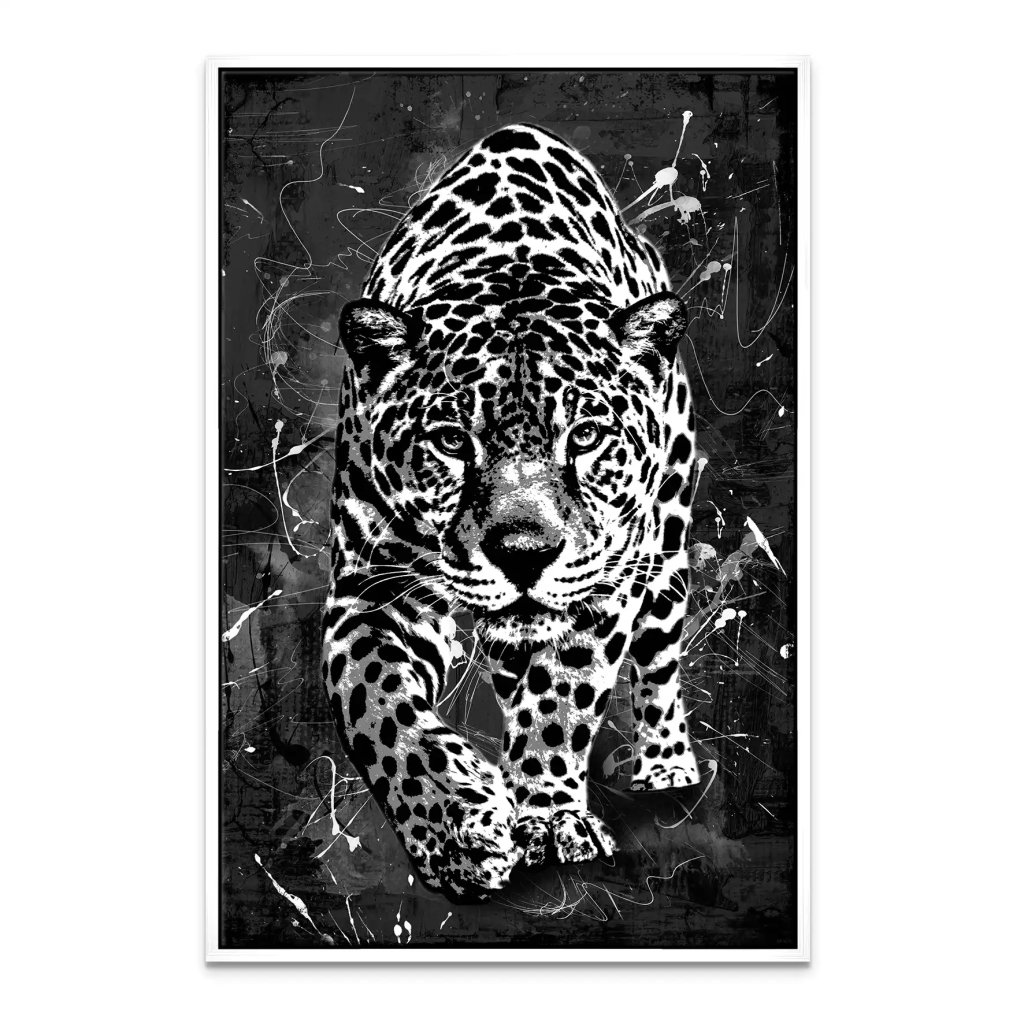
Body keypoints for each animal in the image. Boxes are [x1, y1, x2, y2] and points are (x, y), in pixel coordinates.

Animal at [320, 123, 701, 903]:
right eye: (450, 440)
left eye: (583, 436)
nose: (524, 553)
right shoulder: (371, 591)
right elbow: (376, 706)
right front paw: (456, 831)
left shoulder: (603, 587)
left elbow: (560, 699)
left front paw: (549, 817)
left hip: (667, 552)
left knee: (658, 664)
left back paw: (667, 765)